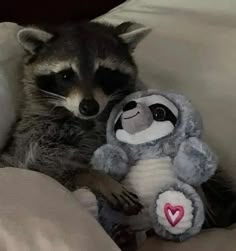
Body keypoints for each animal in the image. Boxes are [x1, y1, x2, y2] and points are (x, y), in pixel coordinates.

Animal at [0, 22, 149, 214]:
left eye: (104, 74)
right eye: (65, 75)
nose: (89, 107)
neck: (84, 119)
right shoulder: (33, 138)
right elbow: (45, 168)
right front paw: (97, 177)